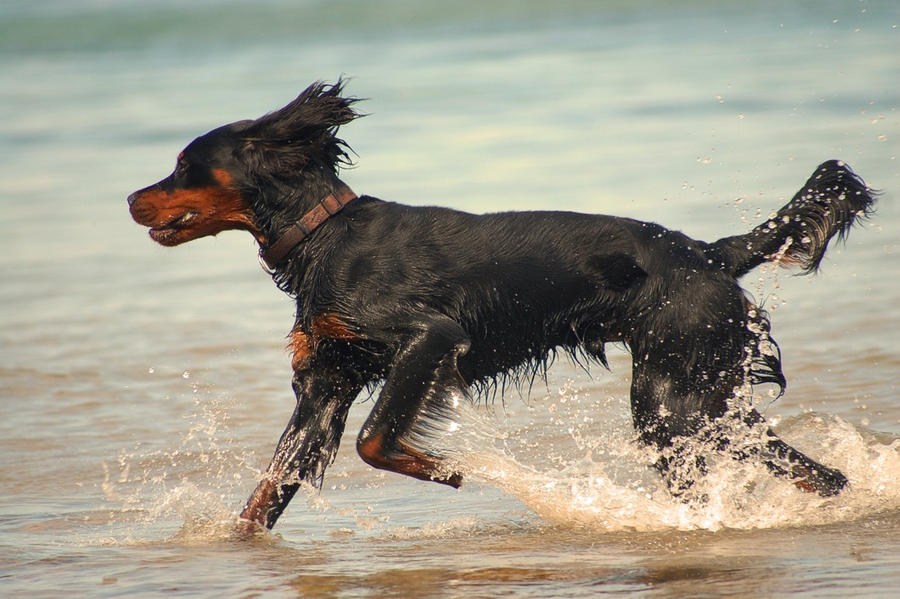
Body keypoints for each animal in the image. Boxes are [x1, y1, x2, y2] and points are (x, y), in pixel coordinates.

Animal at [126, 79, 872, 528]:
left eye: (186, 166)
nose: (132, 198)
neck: (324, 236)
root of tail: (711, 253)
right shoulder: (325, 384)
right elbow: (267, 491)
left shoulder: (428, 336)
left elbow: (375, 438)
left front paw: (444, 469)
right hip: (695, 400)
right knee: (811, 471)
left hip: (673, 401)